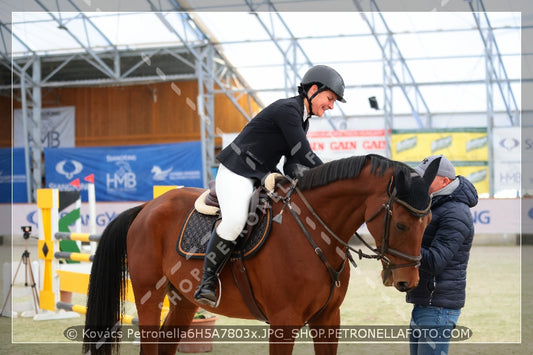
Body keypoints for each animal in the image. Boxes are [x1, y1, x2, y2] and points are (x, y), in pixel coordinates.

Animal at [83, 154, 438, 354]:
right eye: (402, 224)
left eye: (429, 220)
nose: (408, 281)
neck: (314, 233)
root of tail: (145, 208)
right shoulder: (284, 322)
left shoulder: (328, 319)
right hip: (149, 297)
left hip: (183, 301)